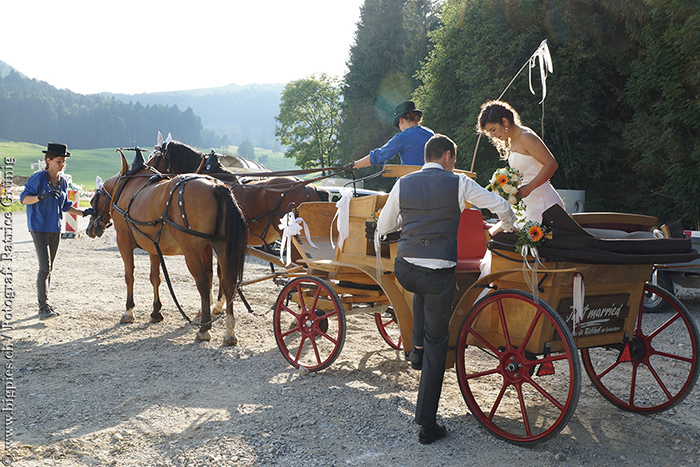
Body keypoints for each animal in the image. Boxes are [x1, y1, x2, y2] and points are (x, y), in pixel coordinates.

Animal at [85, 151, 249, 348]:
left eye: (93, 199)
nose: (90, 229)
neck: (124, 188)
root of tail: (216, 186)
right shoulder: (154, 247)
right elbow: (155, 278)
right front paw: (156, 311)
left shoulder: (124, 243)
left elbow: (129, 276)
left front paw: (129, 311)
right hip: (221, 247)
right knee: (228, 282)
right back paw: (229, 332)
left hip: (192, 251)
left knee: (203, 283)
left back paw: (204, 329)